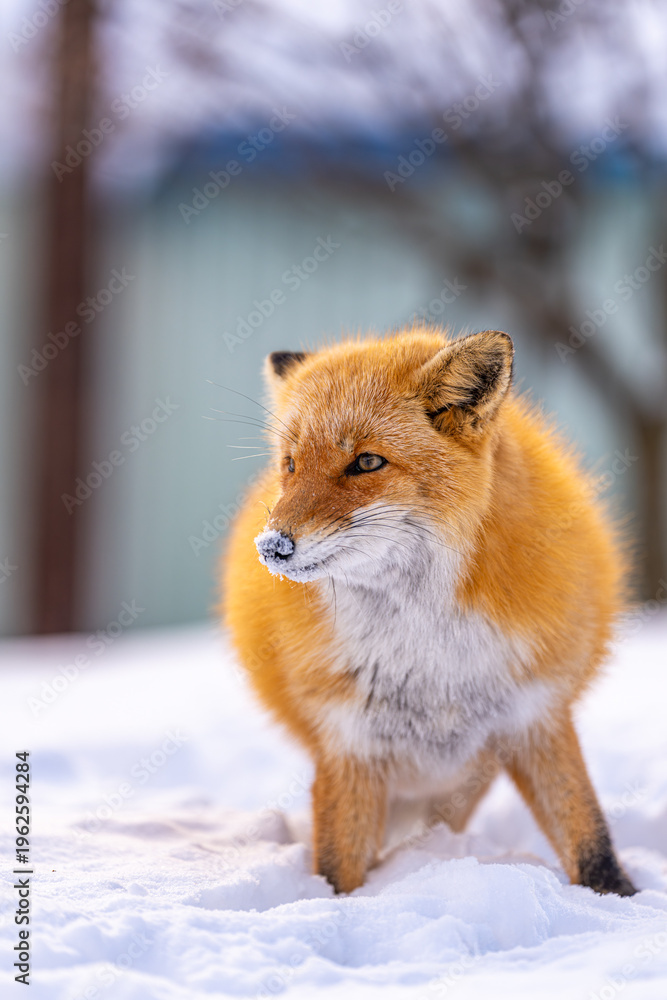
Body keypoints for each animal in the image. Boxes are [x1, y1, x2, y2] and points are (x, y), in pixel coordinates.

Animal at [221, 326, 637, 897]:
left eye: (367, 462)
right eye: (289, 464)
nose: (272, 547)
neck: (427, 651)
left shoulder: (537, 714)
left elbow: (590, 839)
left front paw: (617, 899)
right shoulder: (347, 738)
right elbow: (338, 870)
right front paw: (332, 907)